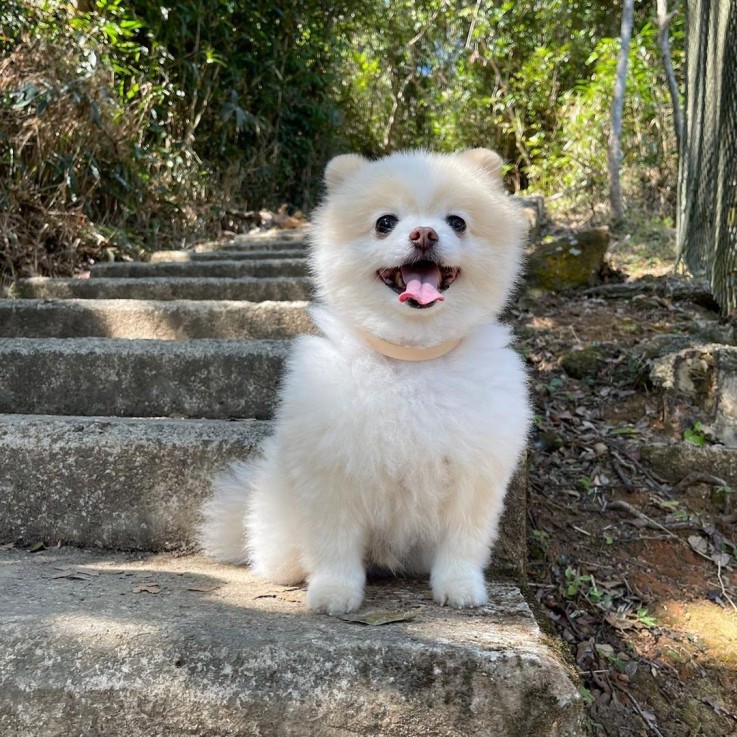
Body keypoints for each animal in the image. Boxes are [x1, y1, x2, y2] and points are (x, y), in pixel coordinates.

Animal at [198, 147, 532, 612]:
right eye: (385, 222)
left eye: (457, 222)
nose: (424, 234)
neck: (413, 357)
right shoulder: (332, 469)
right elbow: (334, 541)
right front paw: (335, 591)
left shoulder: (475, 472)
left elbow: (463, 539)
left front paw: (459, 586)